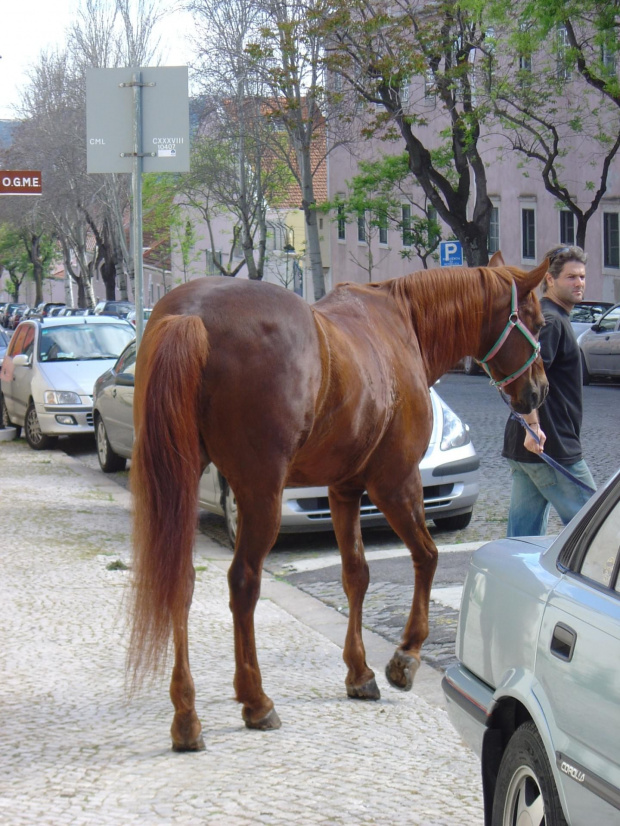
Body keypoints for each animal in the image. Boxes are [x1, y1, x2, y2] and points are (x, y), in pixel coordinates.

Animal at [128, 254, 544, 748]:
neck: (402, 323)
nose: (539, 390)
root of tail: (191, 314)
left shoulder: (344, 488)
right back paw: (255, 700)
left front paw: (359, 671)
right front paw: (405, 656)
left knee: (182, 582)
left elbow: (356, 575)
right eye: (538, 320)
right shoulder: (394, 482)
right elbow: (427, 556)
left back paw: (186, 714)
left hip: (182, 488)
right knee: (243, 583)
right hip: (261, 495)